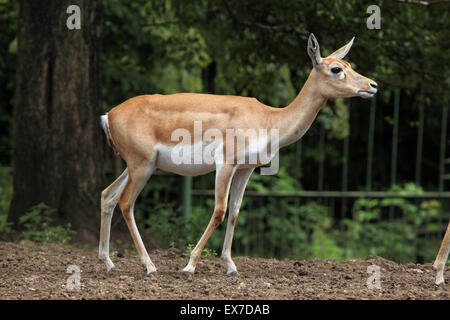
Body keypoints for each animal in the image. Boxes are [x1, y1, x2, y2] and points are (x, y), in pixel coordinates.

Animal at [100, 33, 378, 276]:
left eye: (349, 64)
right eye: (336, 69)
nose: (373, 85)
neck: (269, 119)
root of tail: (109, 115)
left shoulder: (246, 168)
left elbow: (234, 211)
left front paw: (231, 266)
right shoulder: (226, 164)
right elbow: (219, 210)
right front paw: (190, 266)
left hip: (137, 166)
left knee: (108, 195)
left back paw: (110, 264)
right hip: (141, 166)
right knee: (126, 203)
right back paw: (149, 267)